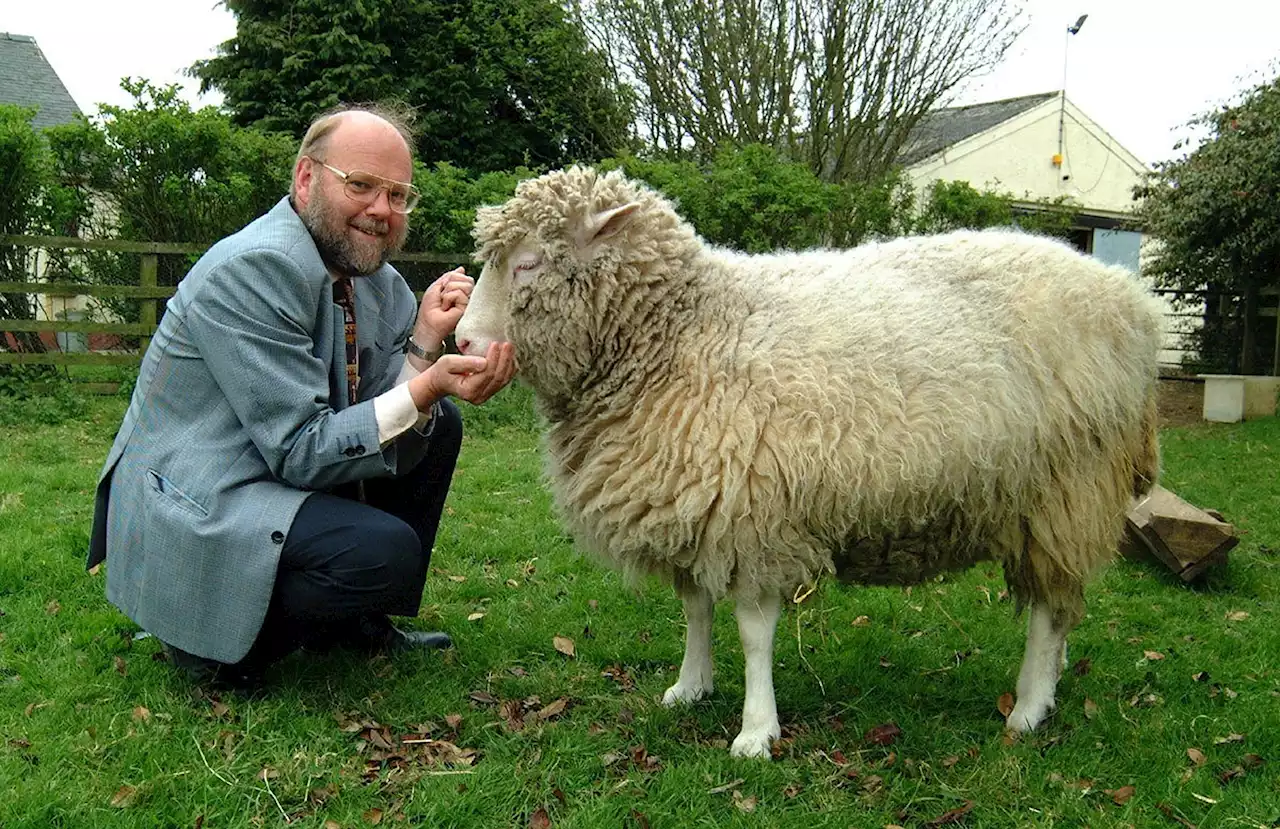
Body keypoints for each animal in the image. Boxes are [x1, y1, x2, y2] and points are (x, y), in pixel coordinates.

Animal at [455, 166, 1167, 757]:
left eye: (527, 264)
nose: (461, 341)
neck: (681, 330)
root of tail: (1132, 302)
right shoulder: (693, 499)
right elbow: (694, 607)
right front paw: (691, 686)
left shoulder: (750, 511)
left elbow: (753, 632)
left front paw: (755, 730)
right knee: (1062, 601)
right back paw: (1053, 678)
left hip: (1065, 486)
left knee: (1048, 609)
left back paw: (1028, 705)